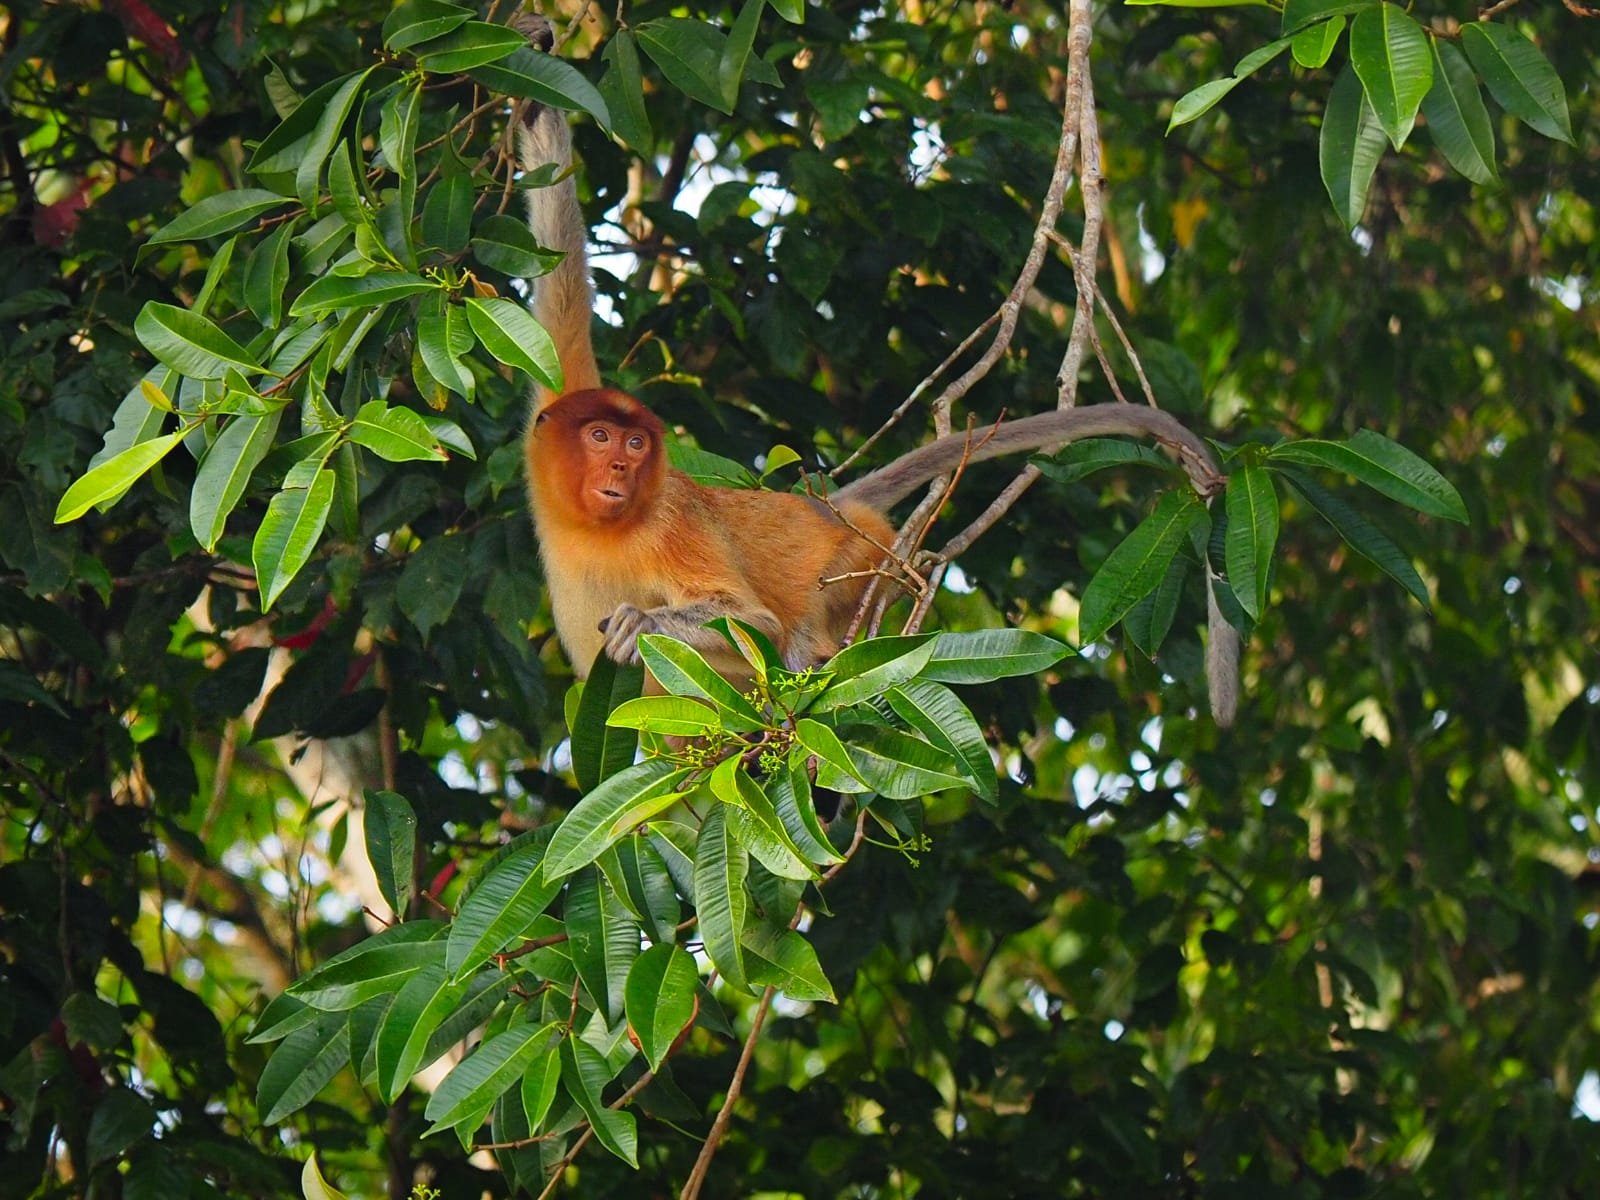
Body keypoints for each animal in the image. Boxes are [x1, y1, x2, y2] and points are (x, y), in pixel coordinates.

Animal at [511, 44, 1237, 722]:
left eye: (634, 446)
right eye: (600, 435)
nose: (620, 470)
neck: (600, 528)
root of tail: (825, 506)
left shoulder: (668, 523)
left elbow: (755, 622)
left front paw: (643, 623)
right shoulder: (557, 406)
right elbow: (560, 285)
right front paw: (535, 87)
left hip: (865, 555)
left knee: (805, 628)